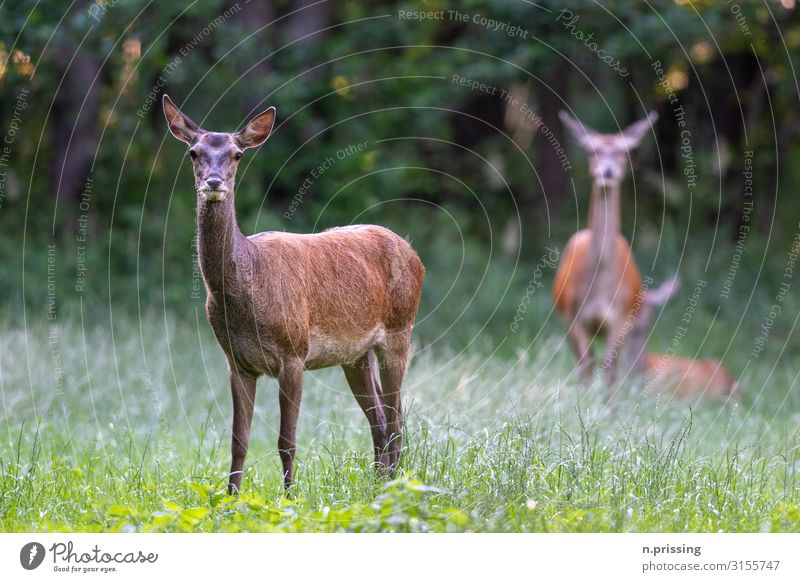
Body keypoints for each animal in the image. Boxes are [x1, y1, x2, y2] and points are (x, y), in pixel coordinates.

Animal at [162, 94, 424, 492]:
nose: (213, 182)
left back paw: (391, 486)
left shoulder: (294, 353)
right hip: (356, 354)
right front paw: (231, 497)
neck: (248, 286)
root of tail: (413, 253)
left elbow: (287, 440)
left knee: (395, 421)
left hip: (400, 330)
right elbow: (238, 440)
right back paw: (378, 485)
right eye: (194, 152)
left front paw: (289, 497)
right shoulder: (236, 362)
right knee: (380, 420)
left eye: (237, 154)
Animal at [552, 109, 660, 388]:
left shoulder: (620, 320)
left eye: (626, 151)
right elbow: (586, 368)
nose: (608, 171)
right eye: (592, 151)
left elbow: (610, 371)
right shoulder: (574, 317)